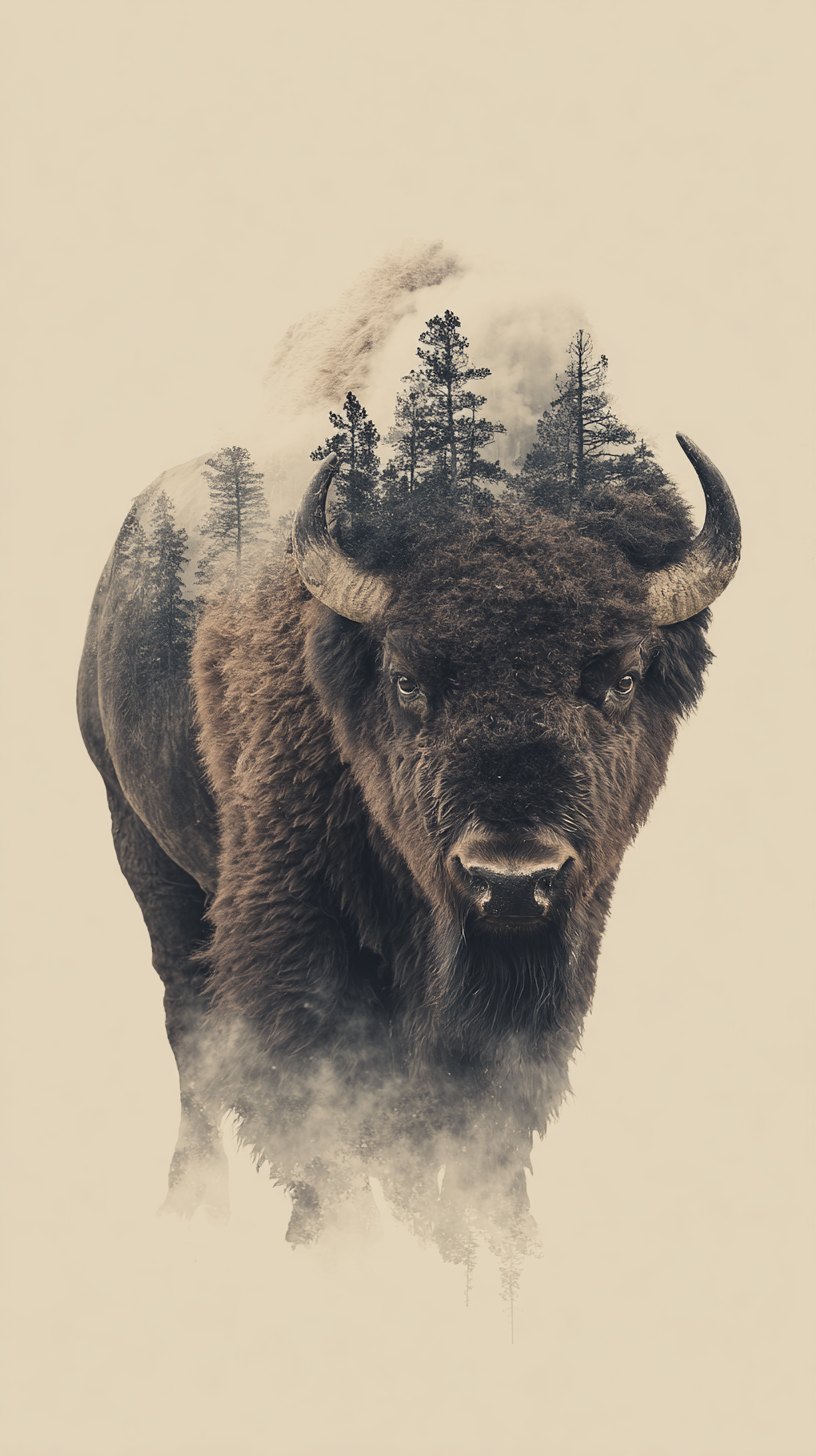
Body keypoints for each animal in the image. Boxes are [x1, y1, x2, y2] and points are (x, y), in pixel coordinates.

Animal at [78, 361, 740, 1259]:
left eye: (622, 678)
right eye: (407, 680)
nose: (511, 879)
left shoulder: (559, 948)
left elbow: (479, 1117)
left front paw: (492, 1241)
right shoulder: (292, 933)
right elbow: (322, 1109)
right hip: (144, 848)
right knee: (191, 1026)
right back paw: (193, 1202)